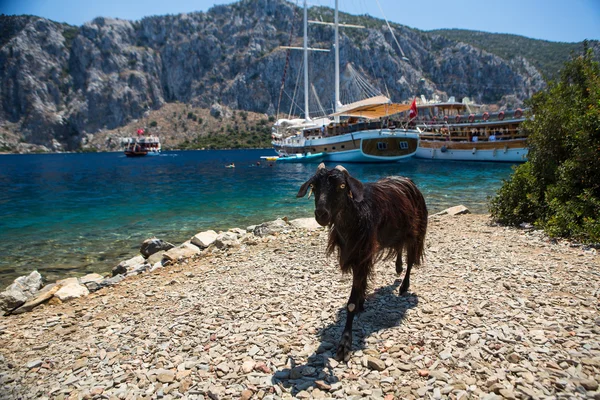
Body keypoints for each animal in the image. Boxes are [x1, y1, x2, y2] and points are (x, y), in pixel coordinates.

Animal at [298, 162, 428, 360]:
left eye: (342, 186)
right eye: (313, 186)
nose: (321, 215)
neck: (355, 216)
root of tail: (407, 180)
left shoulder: (361, 254)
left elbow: (351, 302)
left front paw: (344, 344)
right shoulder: (356, 255)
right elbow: (360, 284)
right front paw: (361, 302)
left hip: (415, 231)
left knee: (411, 259)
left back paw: (404, 286)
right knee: (399, 246)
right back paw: (398, 267)